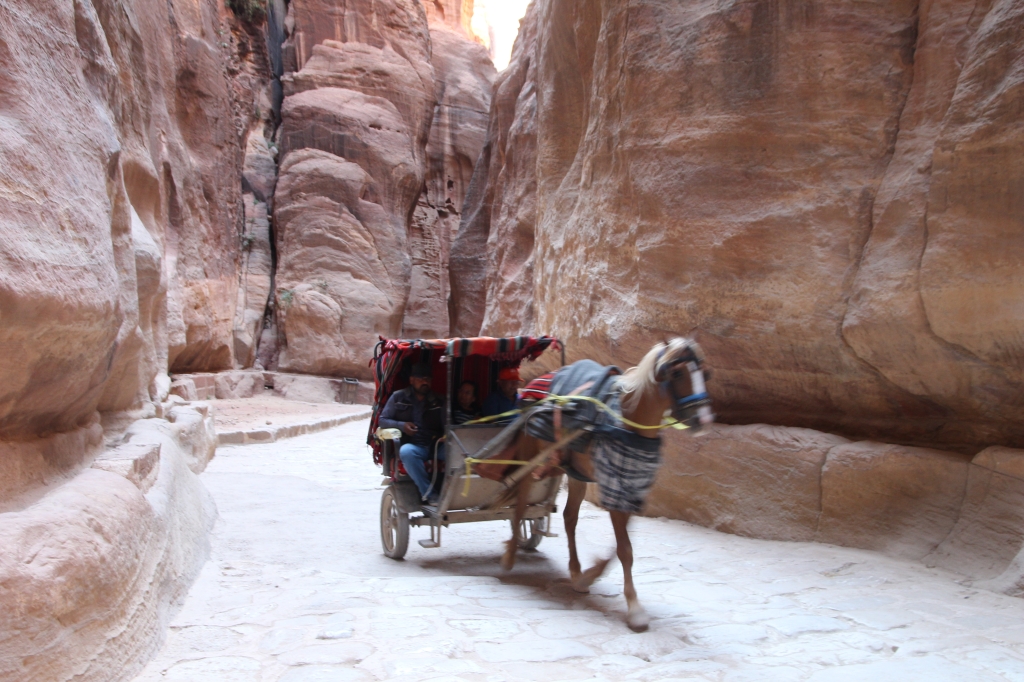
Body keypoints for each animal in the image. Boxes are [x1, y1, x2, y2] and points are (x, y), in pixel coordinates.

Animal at [486, 338, 713, 632]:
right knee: (521, 502)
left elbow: (620, 547)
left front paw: (589, 576)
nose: (702, 420)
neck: (628, 421)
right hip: (529, 458)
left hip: (574, 472)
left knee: (569, 517)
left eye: (706, 374)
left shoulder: (632, 489)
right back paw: (510, 556)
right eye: (676, 373)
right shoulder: (614, 486)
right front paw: (635, 609)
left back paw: (575, 572)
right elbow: (625, 550)